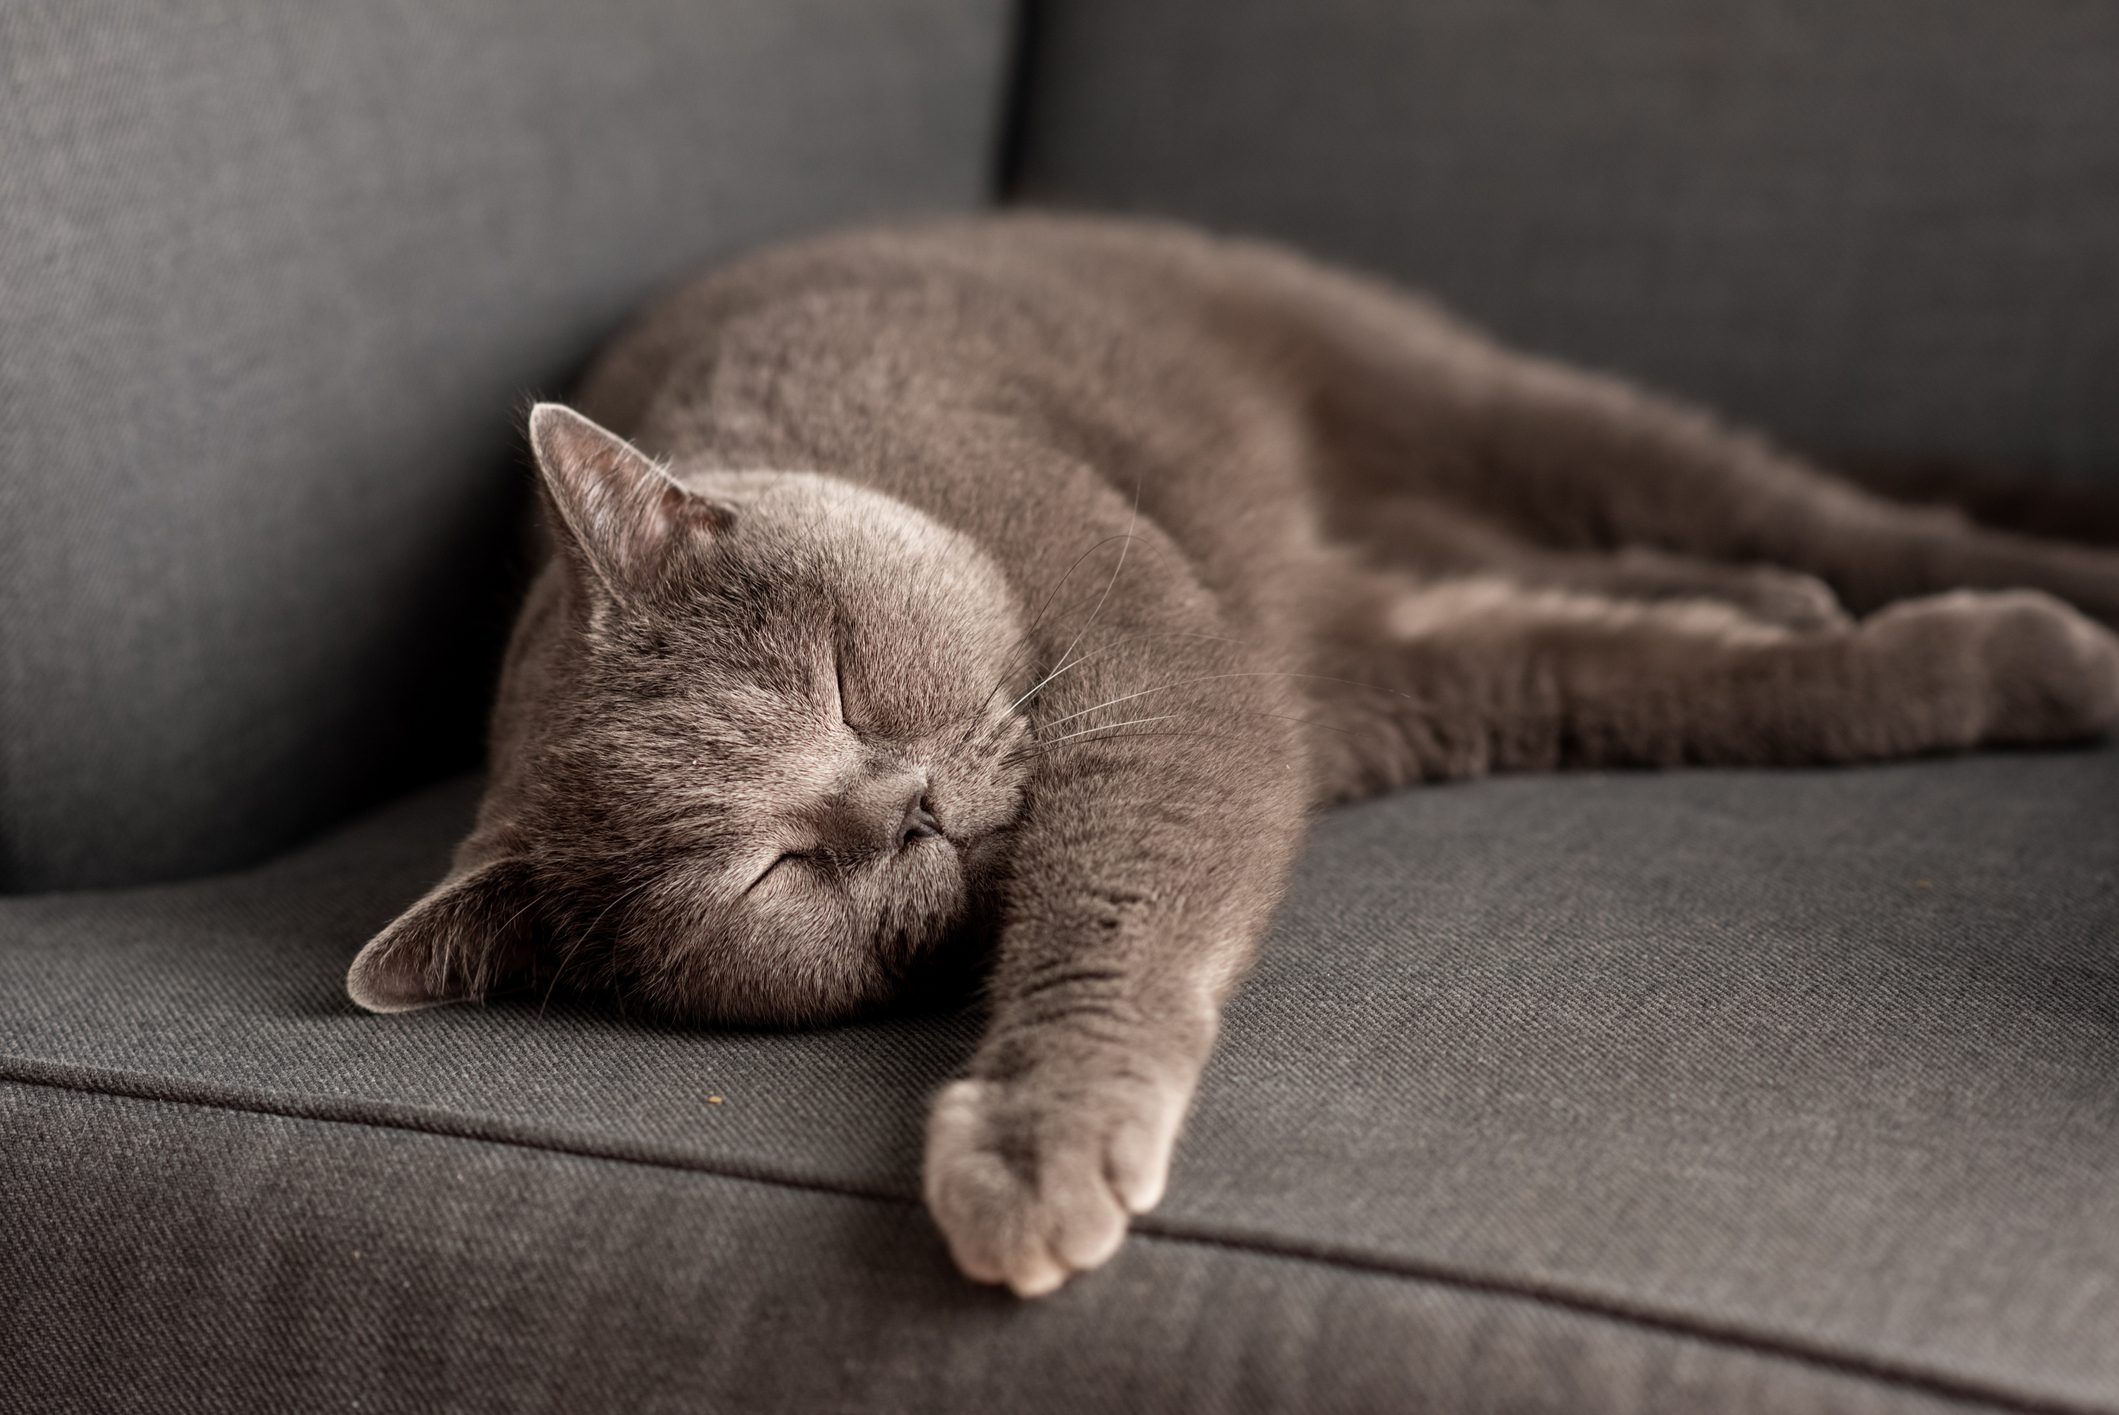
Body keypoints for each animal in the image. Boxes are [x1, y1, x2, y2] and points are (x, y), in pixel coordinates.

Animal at [343, 209, 2119, 1296]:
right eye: (770, 870)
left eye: (840, 679)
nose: (897, 806)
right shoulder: (1368, 674)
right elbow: (1642, 676)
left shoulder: (1160, 669)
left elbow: (1115, 893)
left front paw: (1033, 1143)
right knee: (1587, 567)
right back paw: (1776, 596)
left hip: (1450, 388)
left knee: (1799, 504)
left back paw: (2054, 600)